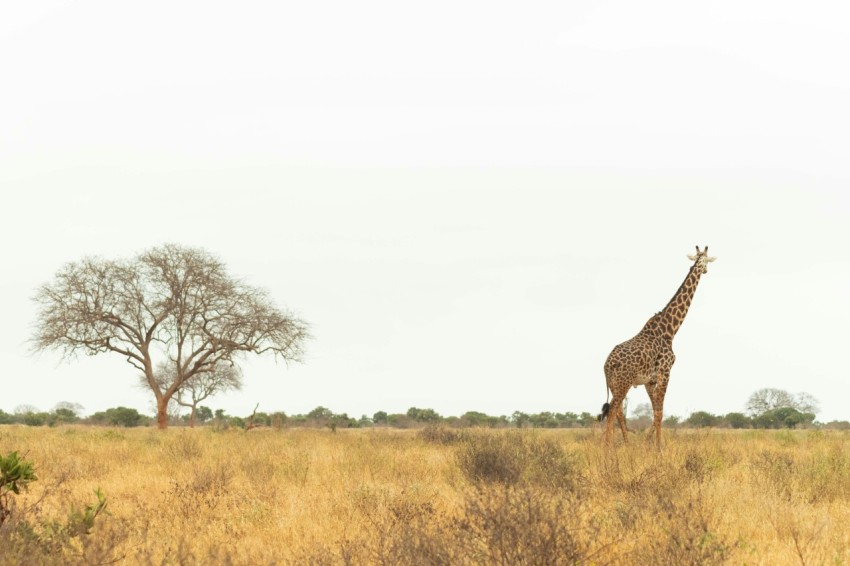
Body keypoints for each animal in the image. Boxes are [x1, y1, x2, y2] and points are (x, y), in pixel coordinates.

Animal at [598, 246, 716, 448]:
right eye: (704, 261)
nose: (705, 270)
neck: (670, 329)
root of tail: (607, 365)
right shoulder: (665, 372)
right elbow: (660, 413)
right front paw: (659, 448)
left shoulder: (649, 380)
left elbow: (655, 412)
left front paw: (649, 443)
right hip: (623, 382)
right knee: (613, 410)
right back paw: (608, 449)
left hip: (614, 384)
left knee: (618, 411)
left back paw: (626, 446)